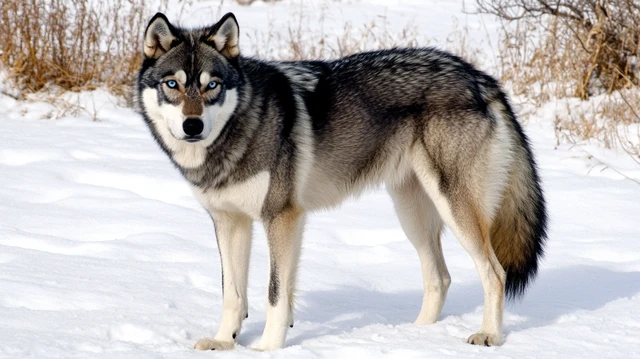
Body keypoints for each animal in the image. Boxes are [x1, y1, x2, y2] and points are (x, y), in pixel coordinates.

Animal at [134, 12, 544, 352]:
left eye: (212, 86)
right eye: (172, 84)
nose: (192, 126)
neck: (239, 130)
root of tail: (479, 77)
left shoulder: (282, 218)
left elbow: (275, 294)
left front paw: (266, 349)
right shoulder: (229, 222)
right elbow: (233, 295)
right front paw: (223, 342)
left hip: (454, 208)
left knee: (494, 273)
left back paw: (488, 335)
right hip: (412, 214)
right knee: (439, 278)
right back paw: (414, 336)